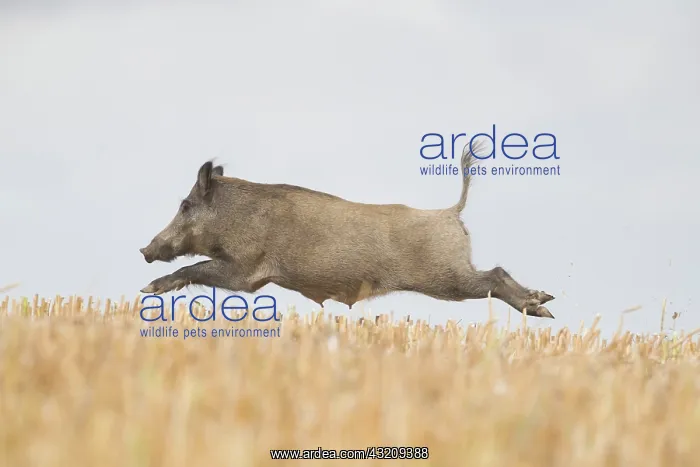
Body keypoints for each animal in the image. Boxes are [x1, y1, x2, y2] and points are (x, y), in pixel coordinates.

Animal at [139, 141, 555, 318]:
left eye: (185, 205)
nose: (145, 251)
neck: (234, 216)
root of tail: (452, 212)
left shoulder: (248, 272)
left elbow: (194, 268)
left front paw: (148, 290)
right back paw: (544, 303)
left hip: (447, 276)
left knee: (495, 275)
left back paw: (540, 307)